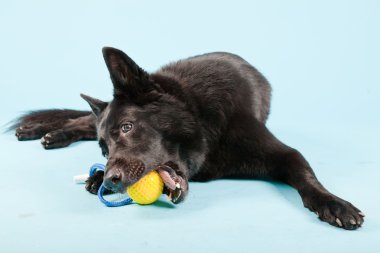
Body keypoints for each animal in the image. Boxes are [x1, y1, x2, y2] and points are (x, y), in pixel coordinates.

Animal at [11, 47, 364, 229]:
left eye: (127, 128)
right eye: (103, 148)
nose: (110, 180)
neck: (199, 116)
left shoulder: (284, 154)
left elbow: (304, 175)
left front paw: (333, 203)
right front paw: (95, 175)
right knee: (85, 119)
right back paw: (43, 131)